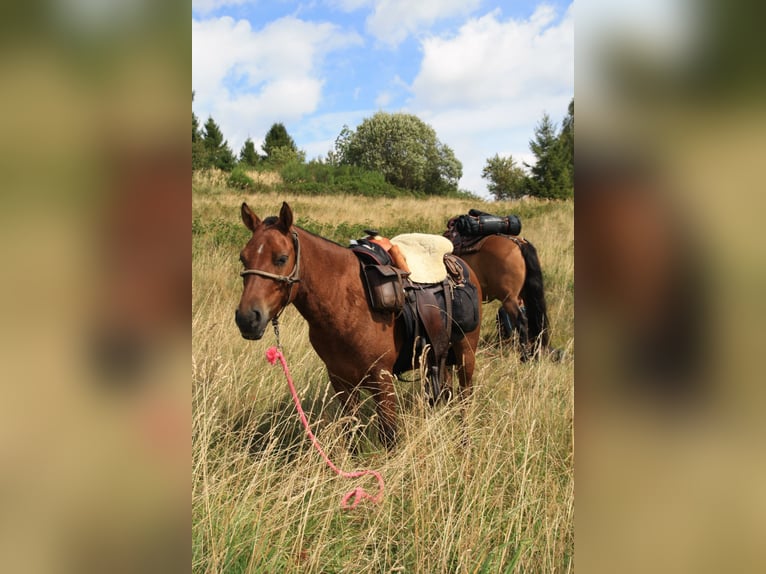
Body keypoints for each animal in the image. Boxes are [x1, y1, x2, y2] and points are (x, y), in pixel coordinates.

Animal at [235, 201, 482, 448]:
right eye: (243, 258)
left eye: (282, 258)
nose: (247, 318)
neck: (343, 302)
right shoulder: (340, 381)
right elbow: (351, 432)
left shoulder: (382, 380)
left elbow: (389, 437)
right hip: (440, 355)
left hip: (465, 356)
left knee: (465, 399)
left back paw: (465, 442)